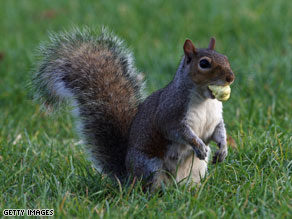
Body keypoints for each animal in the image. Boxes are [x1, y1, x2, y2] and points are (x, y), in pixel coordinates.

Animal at [32, 27, 235, 191]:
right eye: (204, 63)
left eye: (226, 58)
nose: (230, 77)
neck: (205, 100)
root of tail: (129, 177)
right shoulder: (170, 113)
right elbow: (179, 132)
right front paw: (199, 145)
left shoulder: (215, 120)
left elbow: (218, 132)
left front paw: (223, 149)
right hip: (151, 168)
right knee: (150, 188)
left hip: (197, 170)